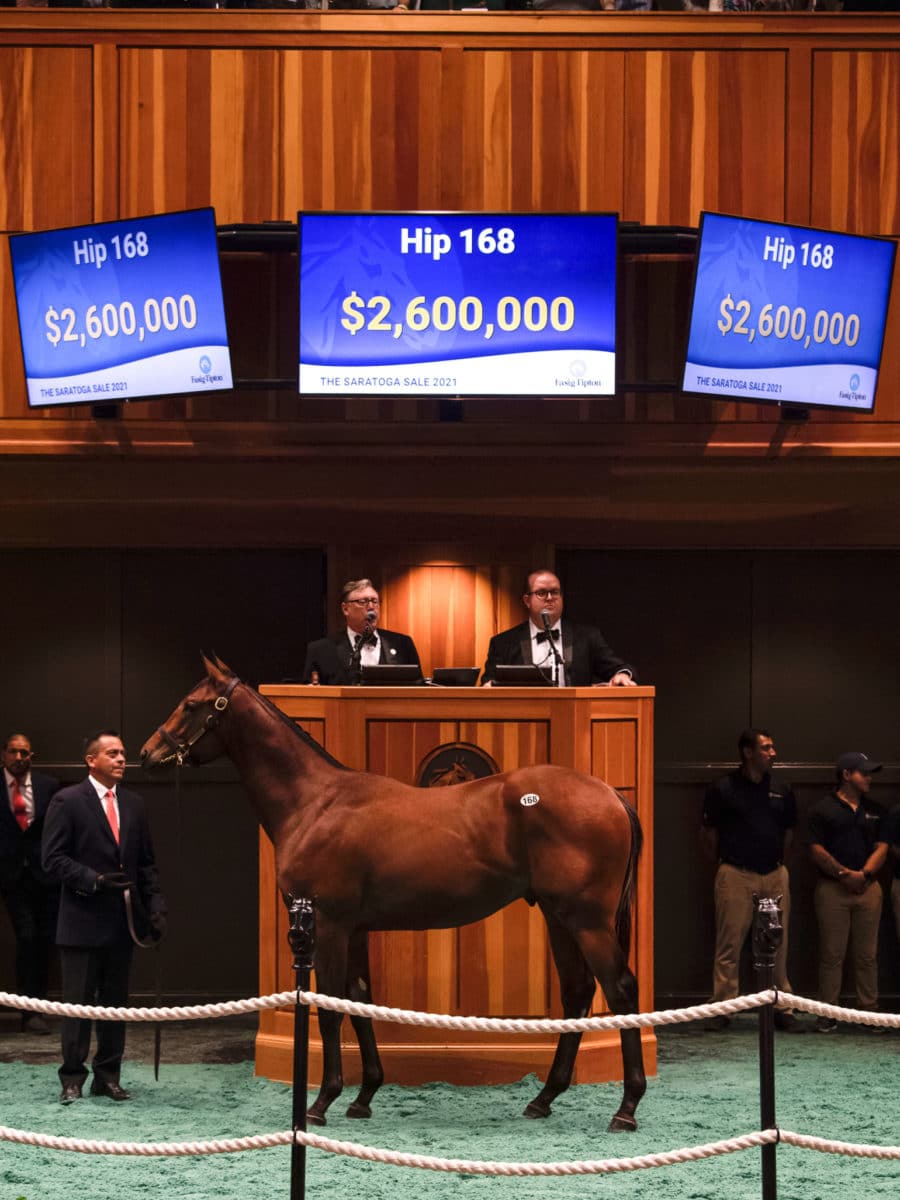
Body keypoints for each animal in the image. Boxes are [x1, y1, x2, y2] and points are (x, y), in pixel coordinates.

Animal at [139, 657, 648, 1132]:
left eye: (191, 704)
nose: (148, 751)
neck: (315, 804)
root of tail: (611, 795)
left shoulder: (328, 924)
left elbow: (329, 1009)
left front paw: (321, 1103)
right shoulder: (355, 929)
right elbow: (359, 1001)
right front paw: (363, 1097)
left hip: (588, 921)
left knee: (620, 991)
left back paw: (626, 1108)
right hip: (558, 917)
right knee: (578, 992)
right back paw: (543, 1099)